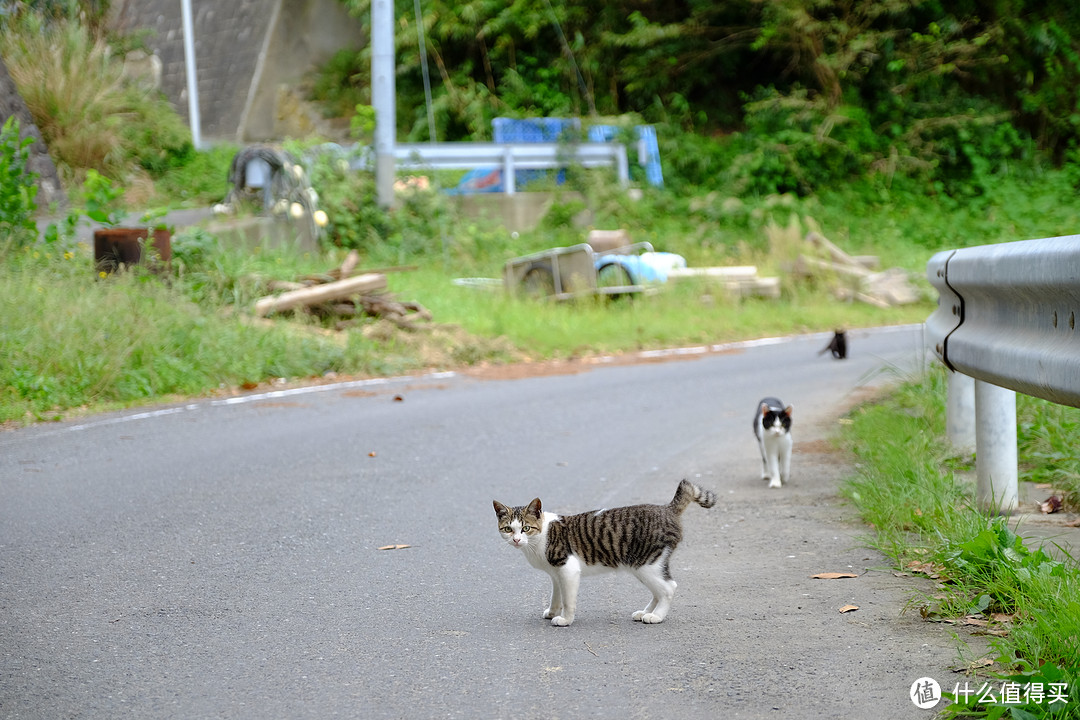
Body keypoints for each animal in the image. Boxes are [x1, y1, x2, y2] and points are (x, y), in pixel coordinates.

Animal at [492, 481, 717, 626]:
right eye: (508, 529)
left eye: (526, 528)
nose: (516, 540)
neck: (540, 539)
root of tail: (667, 509)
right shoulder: (556, 574)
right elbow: (556, 595)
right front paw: (553, 611)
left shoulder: (568, 569)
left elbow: (568, 600)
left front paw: (565, 619)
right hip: (645, 566)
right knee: (659, 590)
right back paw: (646, 612)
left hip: (647, 564)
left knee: (669, 588)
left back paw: (656, 616)